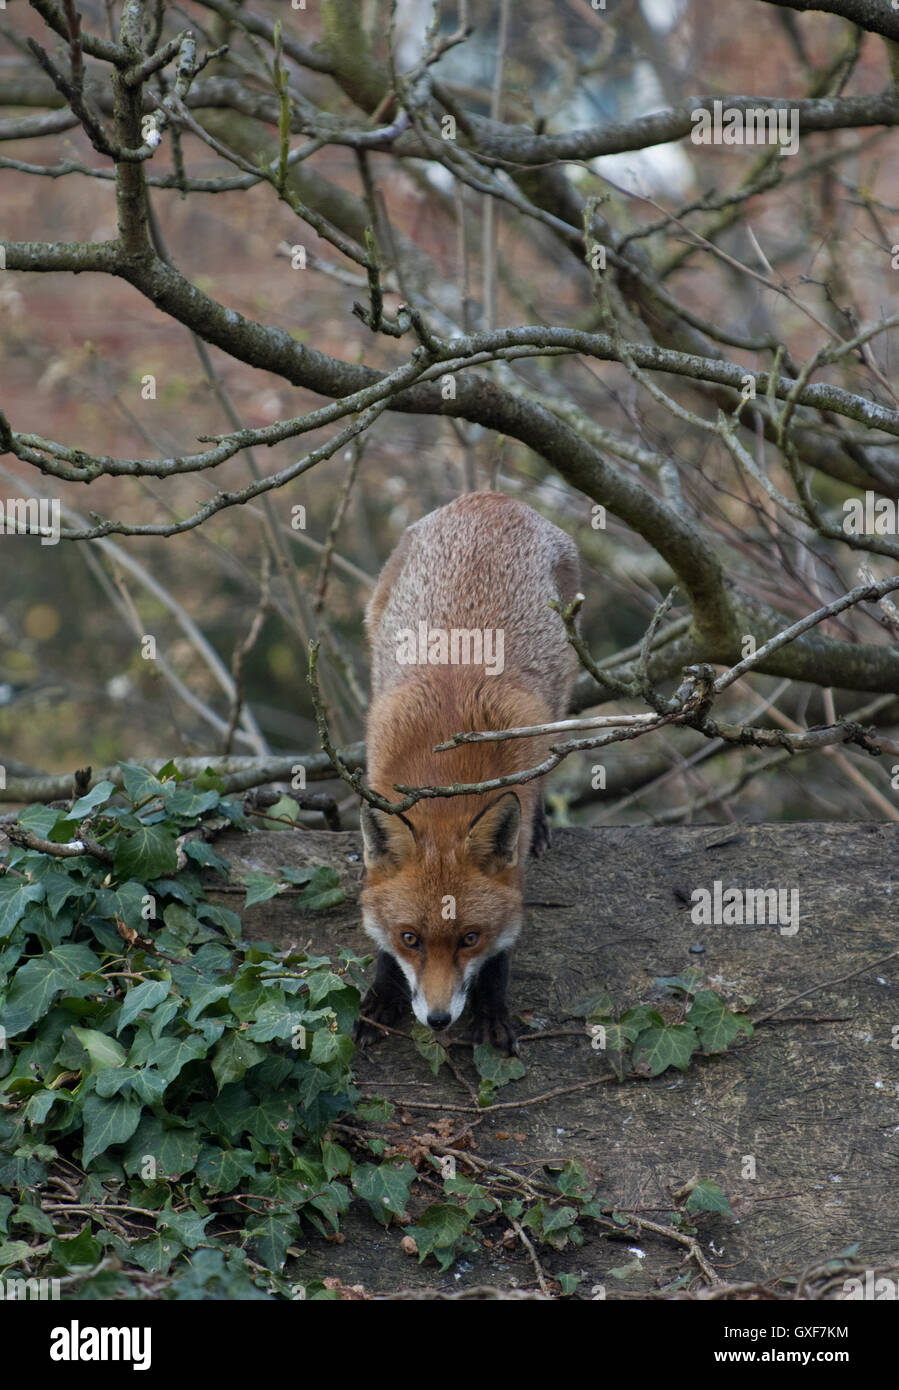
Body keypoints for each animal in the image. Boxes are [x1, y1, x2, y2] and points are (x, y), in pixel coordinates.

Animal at [355, 492, 580, 1050]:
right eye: (410, 938)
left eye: (469, 938)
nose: (437, 1020)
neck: (446, 776)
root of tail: (491, 498)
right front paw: (382, 997)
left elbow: (503, 948)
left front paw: (492, 1011)